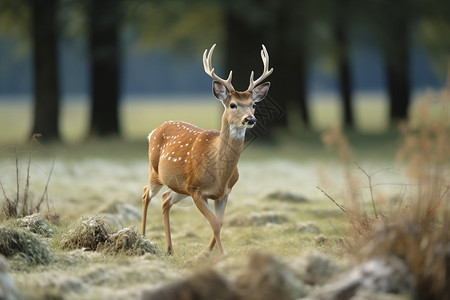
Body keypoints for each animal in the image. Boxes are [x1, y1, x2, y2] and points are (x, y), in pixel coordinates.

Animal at [142, 44, 272, 255]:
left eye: (253, 105)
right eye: (233, 104)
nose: (250, 119)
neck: (218, 174)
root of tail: (154, 131)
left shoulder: (225, 192)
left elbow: (219, 222)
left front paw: (208, 252)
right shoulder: (195, 189)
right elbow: (215, 223)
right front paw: (222, 254)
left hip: (178, 186)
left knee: (164, 199)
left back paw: (169, 248)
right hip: (156, 172)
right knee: (146, 193)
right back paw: (143, 237)